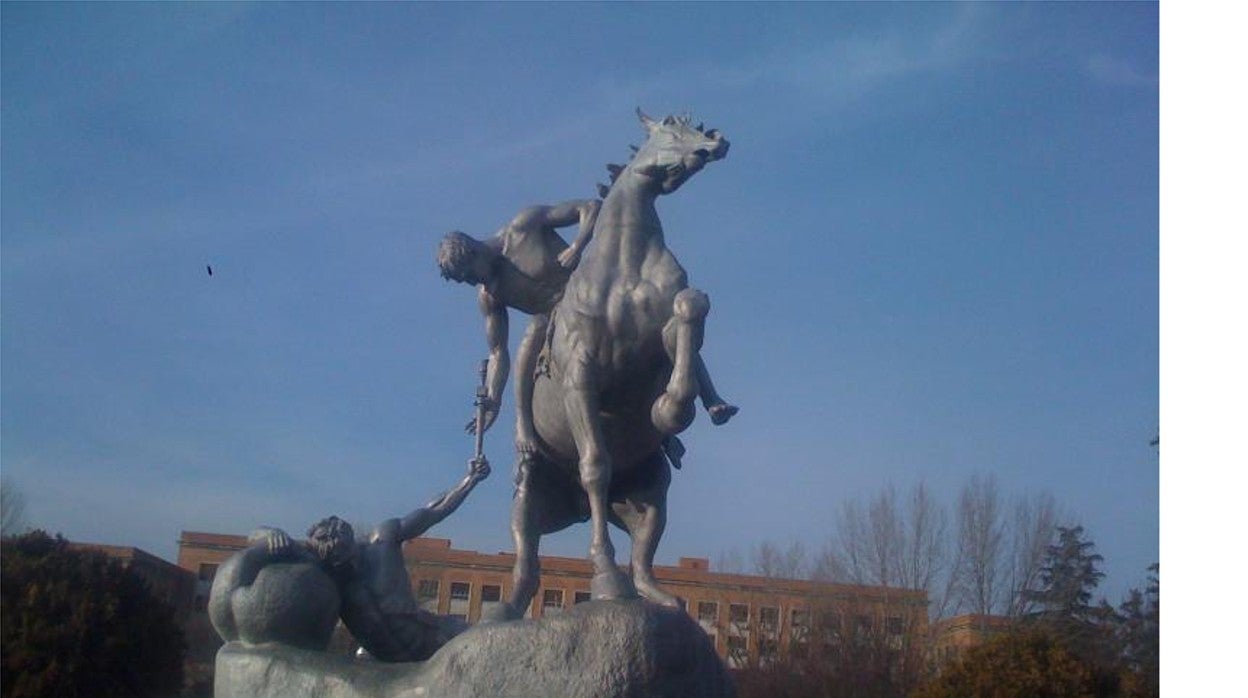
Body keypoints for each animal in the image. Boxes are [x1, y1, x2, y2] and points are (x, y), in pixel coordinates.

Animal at [499, 110, 728, 616]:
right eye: (670, 126)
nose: (716, 143)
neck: (628, 260)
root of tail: (573, 508)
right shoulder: (581, 379)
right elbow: (595, 465)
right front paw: (604, 576)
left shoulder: (664, 337)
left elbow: (691, 307)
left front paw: (671, 409)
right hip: (528, 497)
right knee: (529, 556)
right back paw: (506, 607)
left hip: (652, 493)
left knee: (643, 554)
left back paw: (661, 597)